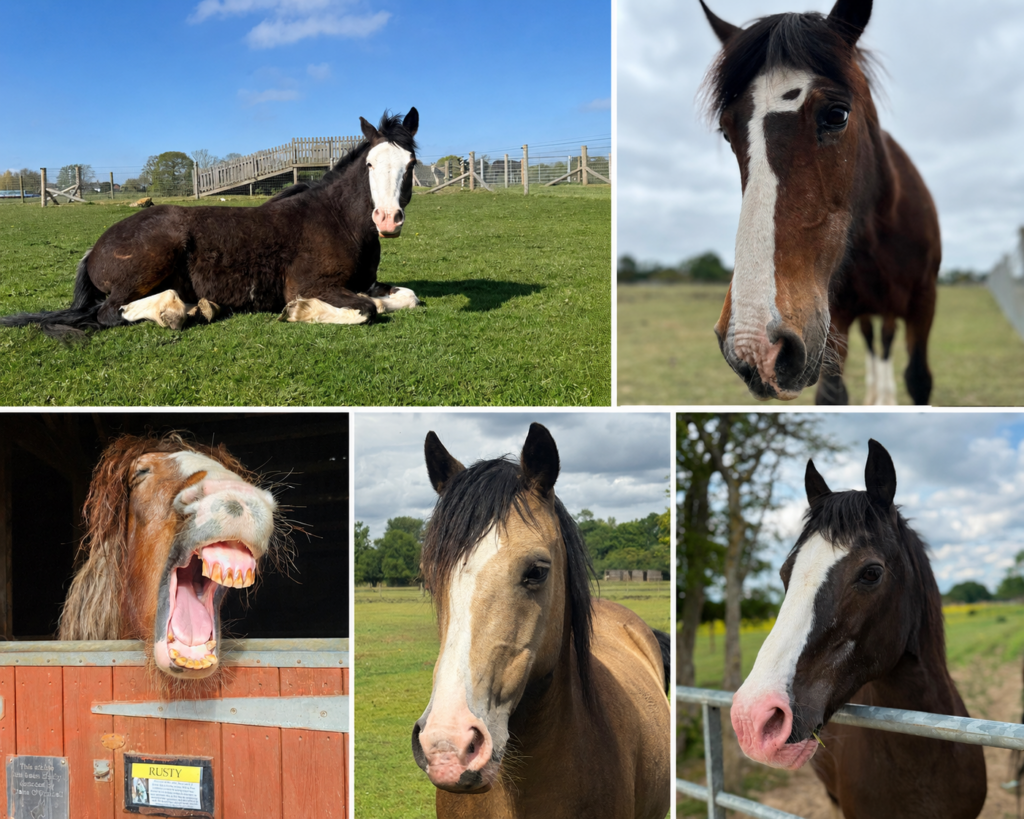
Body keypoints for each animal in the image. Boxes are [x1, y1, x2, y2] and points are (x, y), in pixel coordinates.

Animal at [0, 109, 422, 339]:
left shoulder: (365, 282)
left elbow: (405, 297)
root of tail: (93, 251)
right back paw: (176, 312)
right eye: (371, 164)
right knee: (111, 312)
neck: (338, 221)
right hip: (150, 262)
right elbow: (367, 309)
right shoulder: (315, 284)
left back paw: (196, 309)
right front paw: (300, 311)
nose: (388, 220)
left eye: (410, 164)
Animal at [699, 0, 939, 404]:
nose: (755, 346)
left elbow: (919, 379)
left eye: (837, 114)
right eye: (727, 132)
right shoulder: (836, 320)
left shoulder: (924, 304)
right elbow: (833, 394)